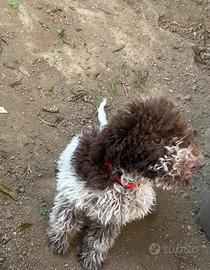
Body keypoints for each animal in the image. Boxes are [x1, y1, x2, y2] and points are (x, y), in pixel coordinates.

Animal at [47, 97, 202, 270]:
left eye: (182, 135)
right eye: (156, 140)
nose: (195, 164)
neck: (121, 179)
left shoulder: (112, 217)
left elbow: (100, 239)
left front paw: (92, 256)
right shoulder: (72, 195)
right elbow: (64, 221)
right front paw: (59, 240)